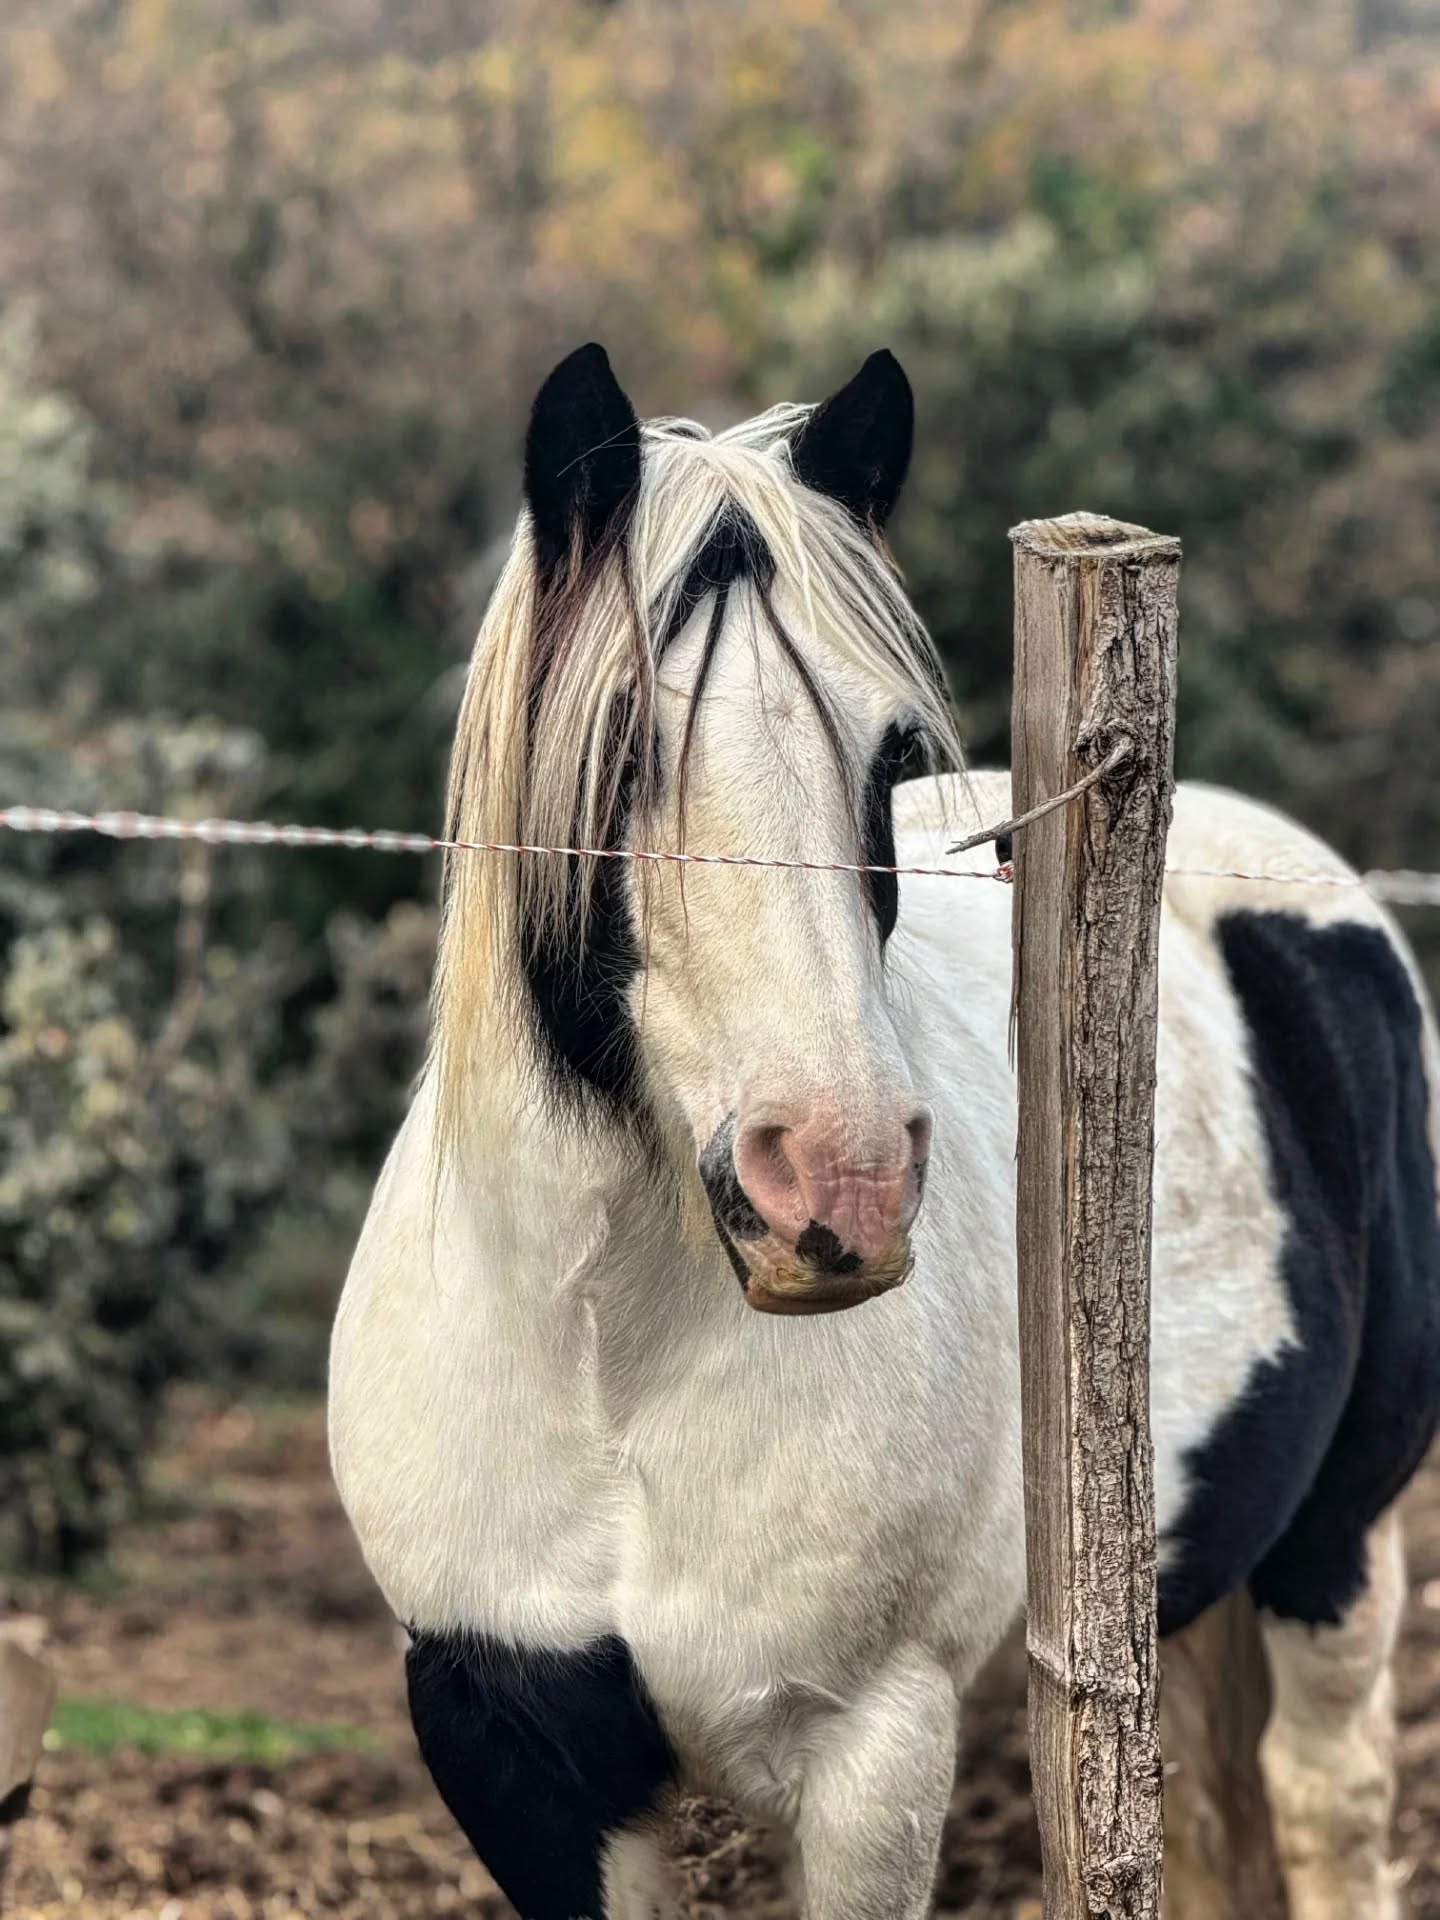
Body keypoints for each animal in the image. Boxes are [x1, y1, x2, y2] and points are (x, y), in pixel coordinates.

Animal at [328, 344, 1440, 1920]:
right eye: (619, 750)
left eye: (890, 757)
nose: (839, 1181)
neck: (608, 1368)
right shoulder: (510, 1745)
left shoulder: (871, 1753)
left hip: (1340, 1544)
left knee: (1330, 1800)